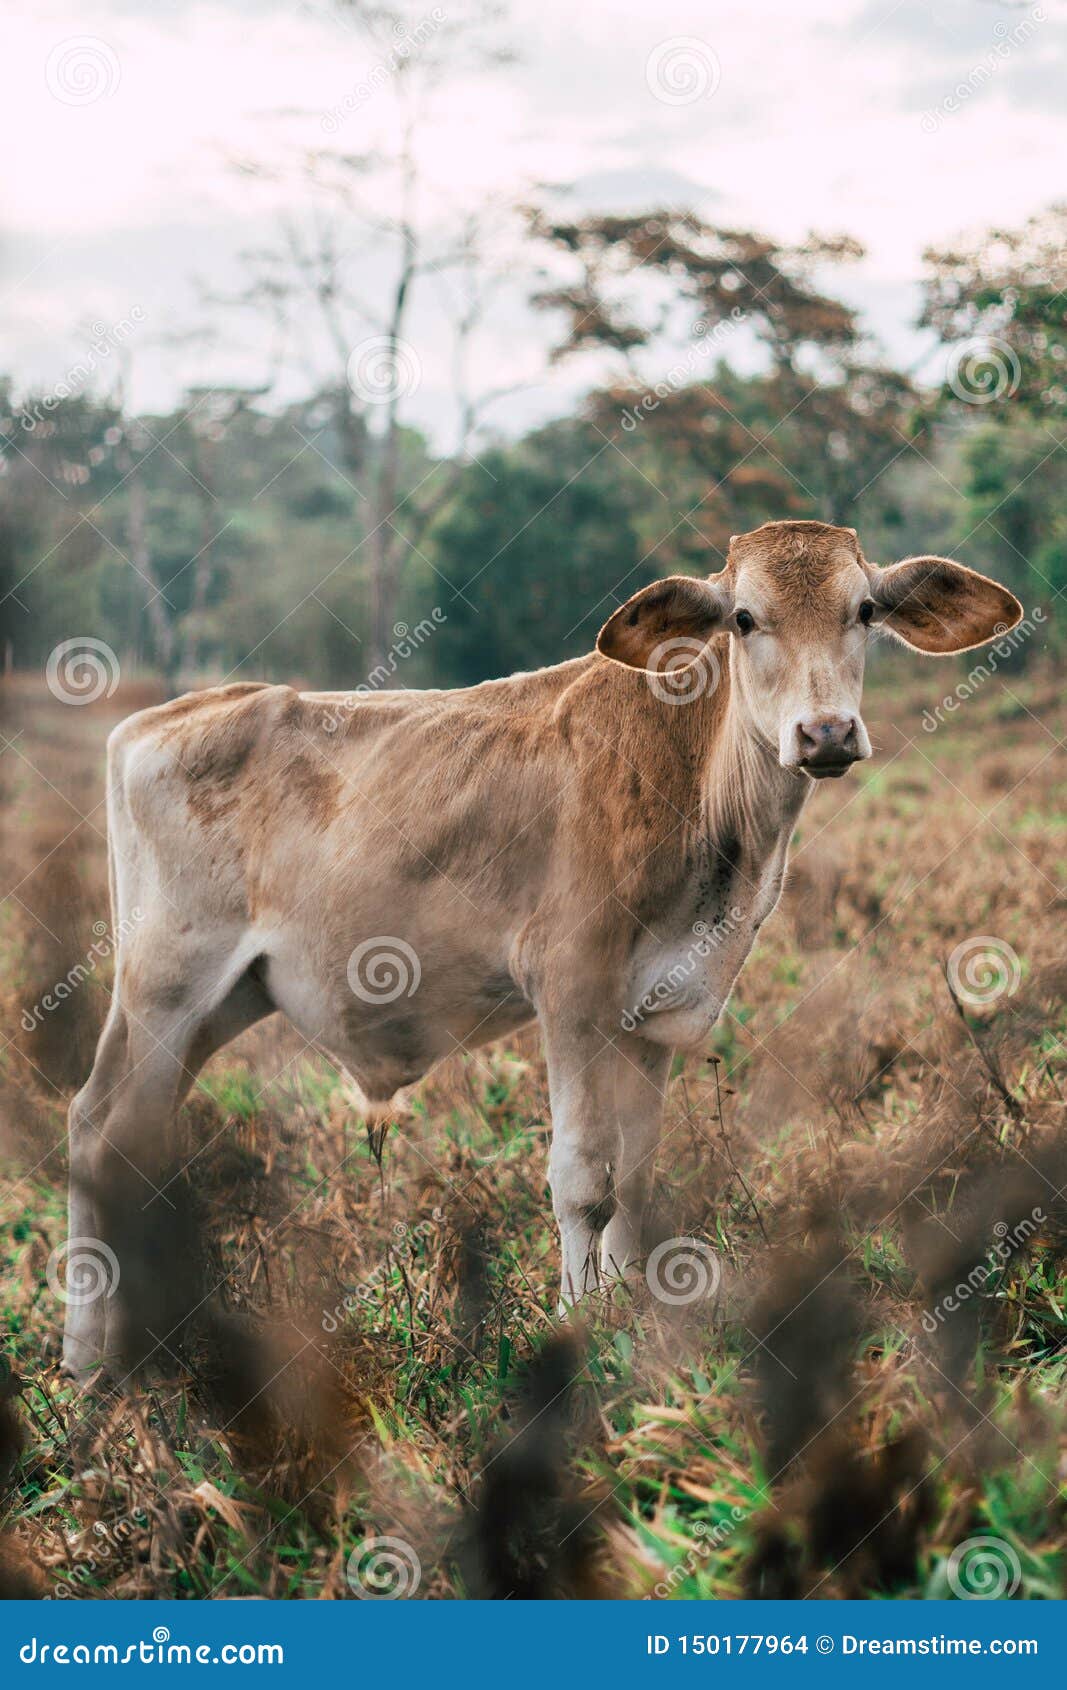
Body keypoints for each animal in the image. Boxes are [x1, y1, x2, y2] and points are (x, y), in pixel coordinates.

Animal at [62, 523, 1021, 1372]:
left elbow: (635, 1180)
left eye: (863, 610)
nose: (823, 734)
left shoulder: (653, 1012)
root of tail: (156, 720)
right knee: (112, 1142)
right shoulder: (571, 992)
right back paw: (117, 1366)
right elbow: (582, 1179)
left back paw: (97, 1359)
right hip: (168, 986)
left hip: (216, 1002)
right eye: (746, 619)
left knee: (104, 1132)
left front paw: (636, 1314)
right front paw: (578, 1323)